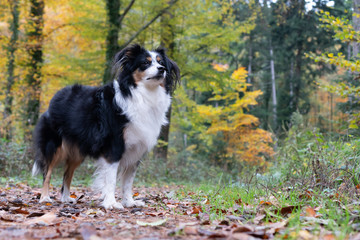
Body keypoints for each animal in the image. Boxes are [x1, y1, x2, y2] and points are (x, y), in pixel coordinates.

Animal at [31, 44, 180, 209]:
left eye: (161, 62)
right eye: (145, 63)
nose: (161, 69)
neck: (141, 94)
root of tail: (55, 97)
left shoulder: (136, 150)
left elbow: (128, 181)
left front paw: (129, 201)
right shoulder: (114, 147)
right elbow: (111, 180)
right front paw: (111, 203)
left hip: (78, 151)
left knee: (67, 174)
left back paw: (66, 198)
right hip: (54, 145)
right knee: (47, 172)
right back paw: (45, 197)